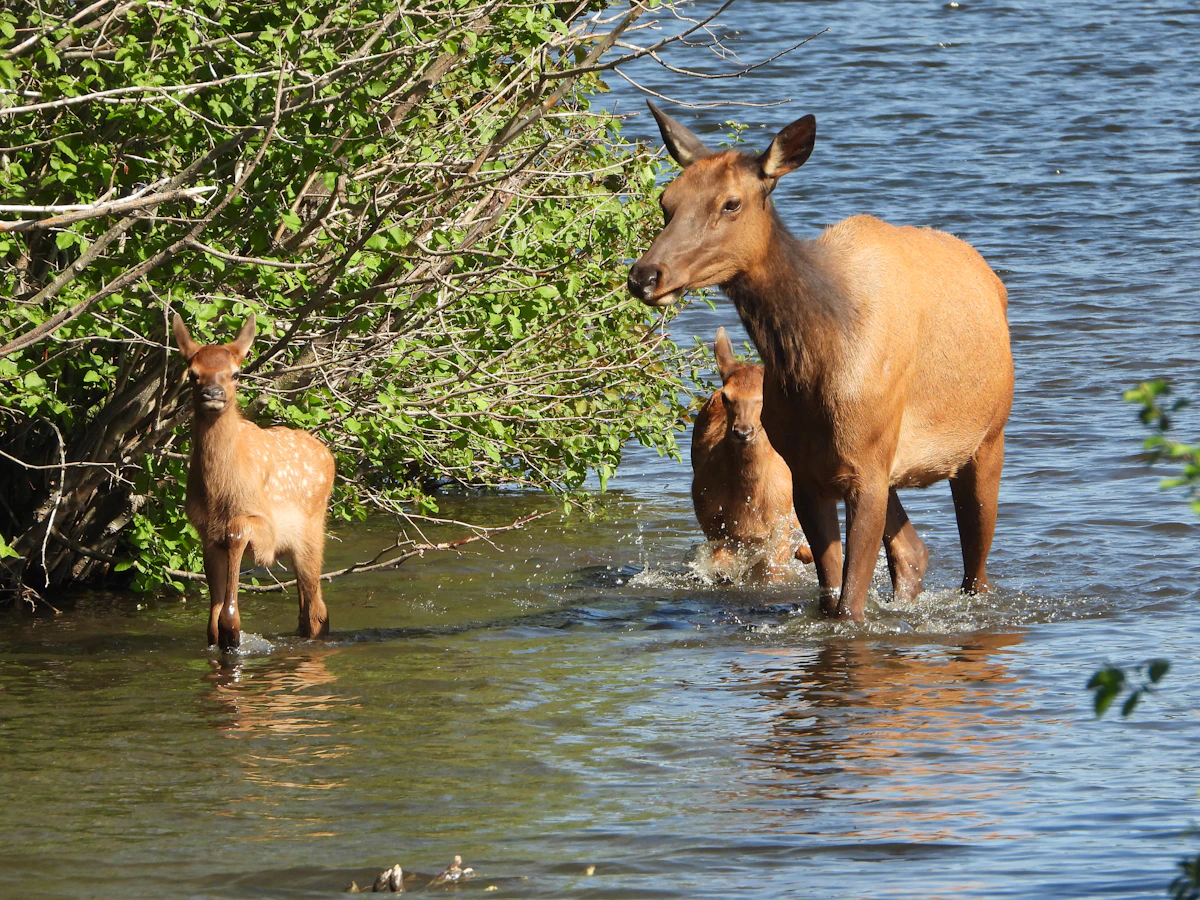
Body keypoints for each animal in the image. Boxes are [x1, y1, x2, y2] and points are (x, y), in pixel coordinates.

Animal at [172, 314, 336, 650]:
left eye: (236, 373)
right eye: (192, 374)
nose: (213, 393)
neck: (220, 491)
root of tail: (328, 454)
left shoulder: (263, 527)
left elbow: (236, 531)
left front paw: (232, 627)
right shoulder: (205, 533)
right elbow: (211, 623)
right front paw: (224, 630)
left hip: (311, 534)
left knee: (318, 611)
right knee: (306, 611)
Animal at [692, 327, 813, 582]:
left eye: (764, 396)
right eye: (726, 397)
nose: (742, 431)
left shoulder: (778, 529)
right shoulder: (715, 526)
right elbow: (720, 566)